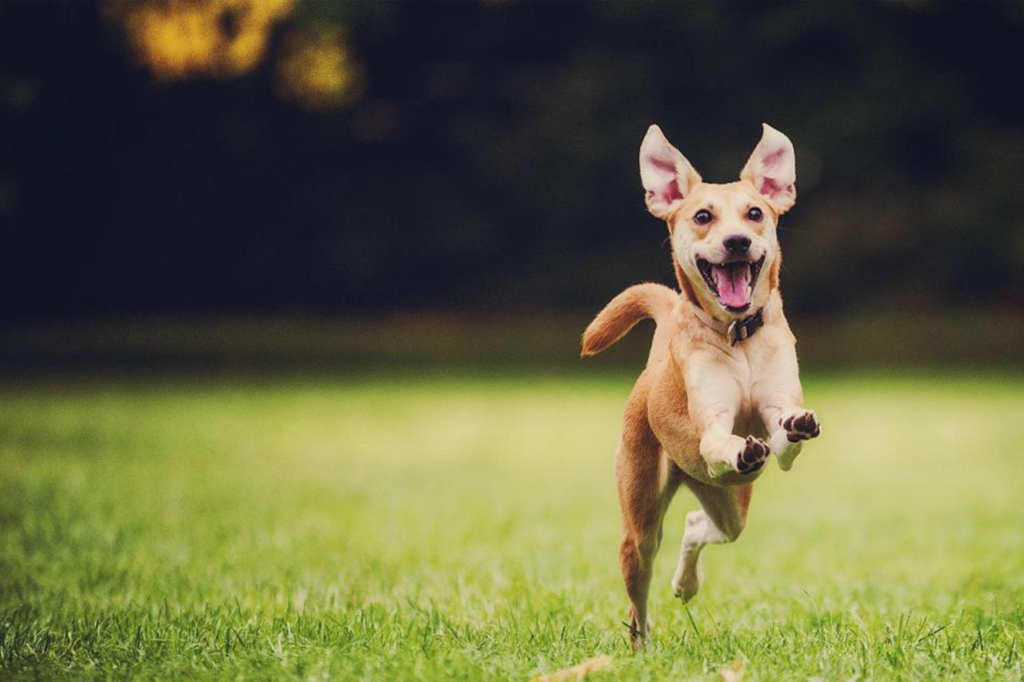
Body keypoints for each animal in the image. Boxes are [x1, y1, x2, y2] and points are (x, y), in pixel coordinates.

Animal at [585, 123, 823, 643]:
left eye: (755, 213)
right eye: (701, 216)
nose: (736, 241)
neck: (739, 339)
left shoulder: (777, 417)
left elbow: (784, 436)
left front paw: (795, 426)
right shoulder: (711, 426)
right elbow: (718, 438)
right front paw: (737, 446)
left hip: (731, 502)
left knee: (701, 524)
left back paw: (686, 583)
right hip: (640, 521)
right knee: (638, 597)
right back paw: (642, 645)